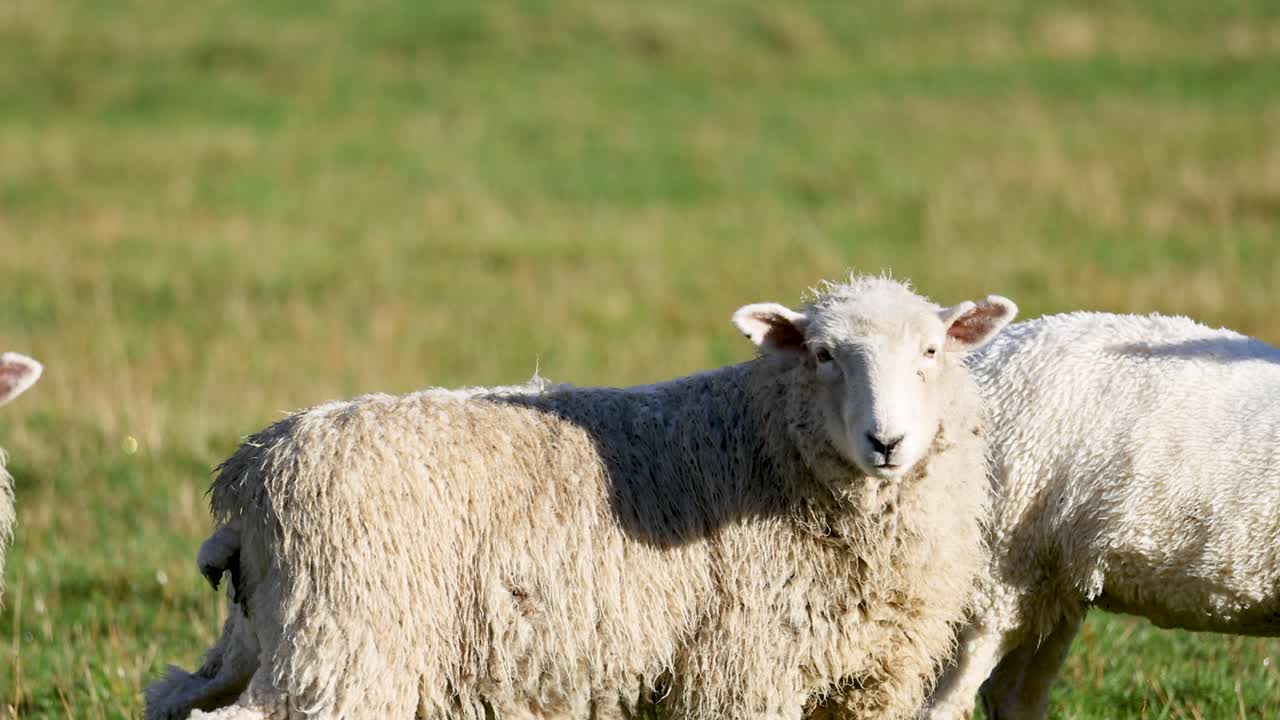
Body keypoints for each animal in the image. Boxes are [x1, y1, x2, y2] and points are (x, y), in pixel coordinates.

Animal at [145, 275, 1017, 720]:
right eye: (824, 354)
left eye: (932, 351)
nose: (886, 442)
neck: (767, 444)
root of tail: (252, 467)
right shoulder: (746, 669)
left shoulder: (872, 678)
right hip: (349, 642)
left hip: (267, 634)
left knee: (173, 697)